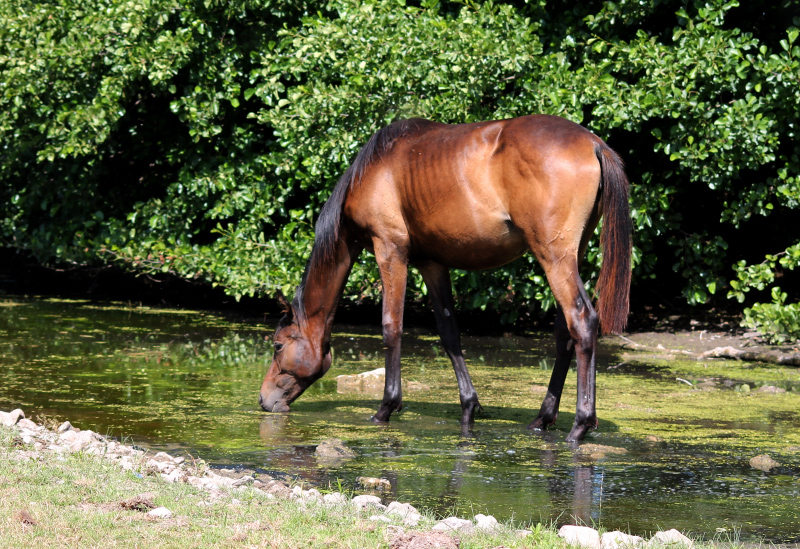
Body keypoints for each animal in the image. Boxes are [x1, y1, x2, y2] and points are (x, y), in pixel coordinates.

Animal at [260, 114, 628, 440]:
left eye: (278, 345)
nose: (263, 400)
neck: (373, 170)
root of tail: (593, 144)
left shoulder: (389, 248)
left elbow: (391, 326)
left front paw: (386, 408)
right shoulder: (431, 262)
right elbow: (449, 332)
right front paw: (469, 406)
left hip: (553, 256)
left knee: (582, 322)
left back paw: (581, 424)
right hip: (570, 255)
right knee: (565, 331)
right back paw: (543, 418)